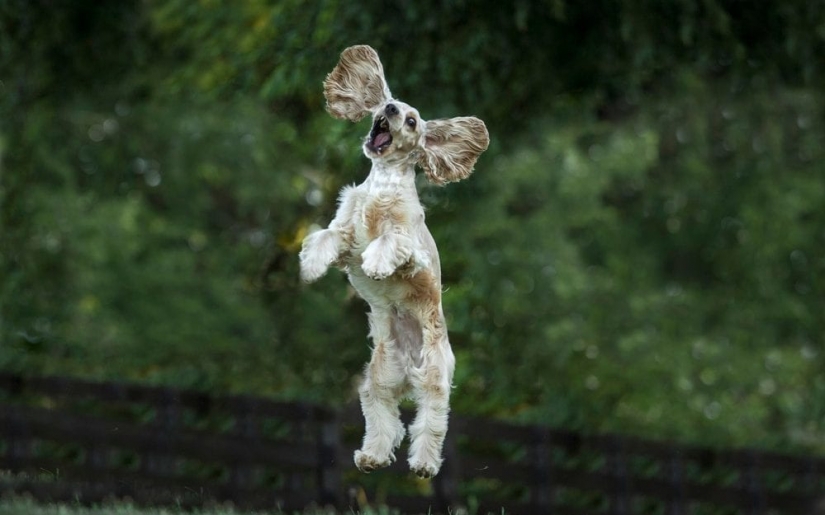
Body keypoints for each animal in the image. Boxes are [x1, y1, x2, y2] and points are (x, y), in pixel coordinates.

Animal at [298, 44, 486, 480]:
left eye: (412, 120)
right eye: (391, 101)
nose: (390, 108)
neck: (382, 182)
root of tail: (408, 371)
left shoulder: (410, 248)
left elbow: (388, 241)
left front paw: (377, 266)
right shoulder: (346, 233)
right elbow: (327, 236)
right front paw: (311, 265)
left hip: (433, 379)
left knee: (429, 424)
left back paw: (423, 465)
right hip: (378, 380)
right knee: (384, 420)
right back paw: (371, 457)